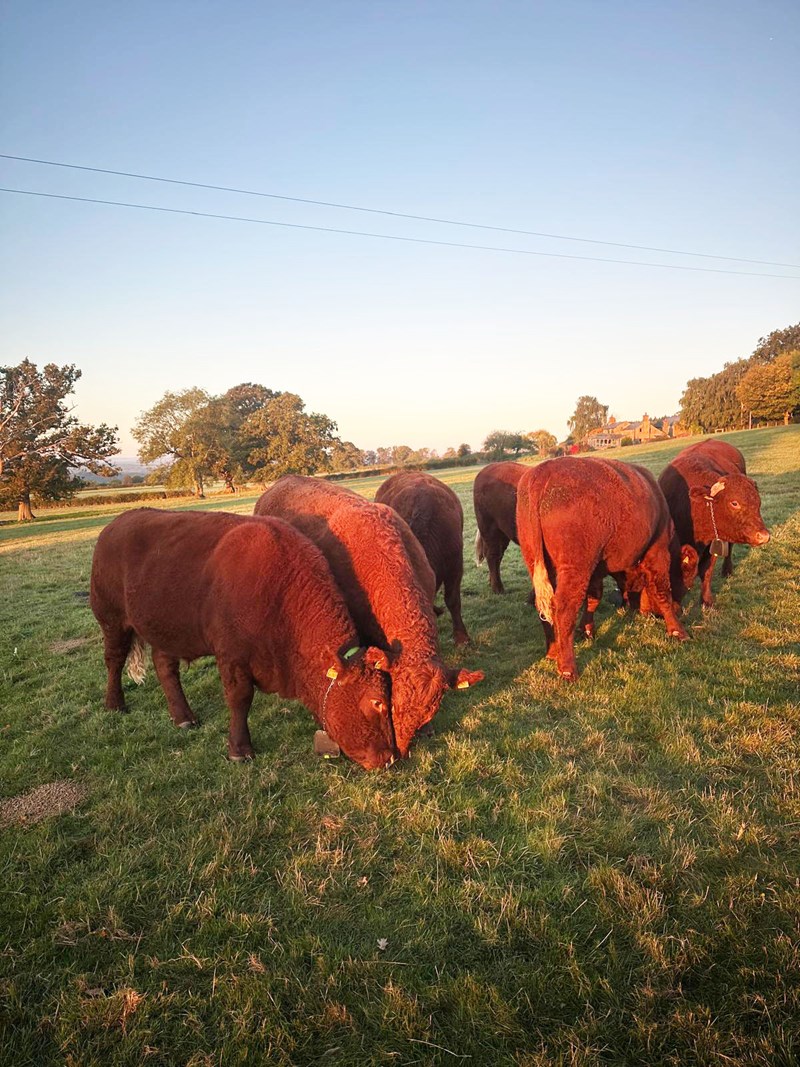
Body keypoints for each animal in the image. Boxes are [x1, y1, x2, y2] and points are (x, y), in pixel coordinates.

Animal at [90, 509, 396, 770]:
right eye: (377, 702)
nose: (390, 757)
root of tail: (116, 523)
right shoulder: (232, 655)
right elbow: (240, 698)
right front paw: (239, 749)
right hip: (112, 619)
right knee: (114, 661)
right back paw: (115, 704)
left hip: (167, 628)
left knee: (165, 666)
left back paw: (183, 717)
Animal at [517, 457, 692, 681]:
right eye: (685, 578)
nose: (681, 609)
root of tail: (544, 471)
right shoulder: (657, 552)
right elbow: (662, 590)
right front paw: (678, 630)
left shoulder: (595, 570)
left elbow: (594, 598)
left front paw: (587, 630)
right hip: (574, 568)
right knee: (563, 608)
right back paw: (567, 668)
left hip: (538, 565)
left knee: (544, 606)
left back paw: (553, 651)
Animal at [658, 440, 770, 607]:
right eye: (734, 503)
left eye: (758, 502)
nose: (763, 536)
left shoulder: (713, 545)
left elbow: (706, 571)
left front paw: (706, 600)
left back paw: (727, 570)